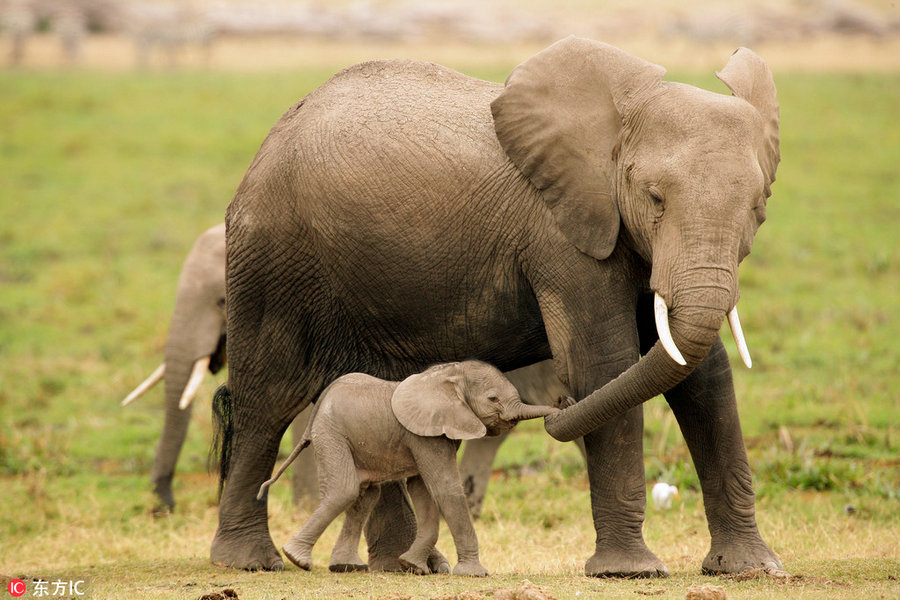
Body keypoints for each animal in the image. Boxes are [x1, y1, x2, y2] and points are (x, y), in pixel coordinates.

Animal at [256, 361, 558, 575]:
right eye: (493, 399)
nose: (560, 404)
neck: (449, 374)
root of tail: (322, 398)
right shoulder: (424, 435)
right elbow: (445, 488)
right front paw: (474, 573)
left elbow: (423, 491)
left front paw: (412, 566)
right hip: (332, 433)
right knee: (345, 489)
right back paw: (296, 558)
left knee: (366, 495)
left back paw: (346, 566)